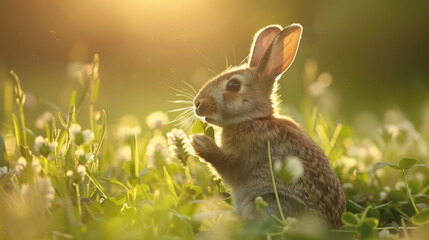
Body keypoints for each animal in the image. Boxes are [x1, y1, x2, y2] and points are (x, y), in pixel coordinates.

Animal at [189, 23, 346, 228]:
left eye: (233, 85)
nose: (197, 103)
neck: (252, 119)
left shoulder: (244, 156)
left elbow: (226, 164)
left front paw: (199, 142)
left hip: (263, 202)